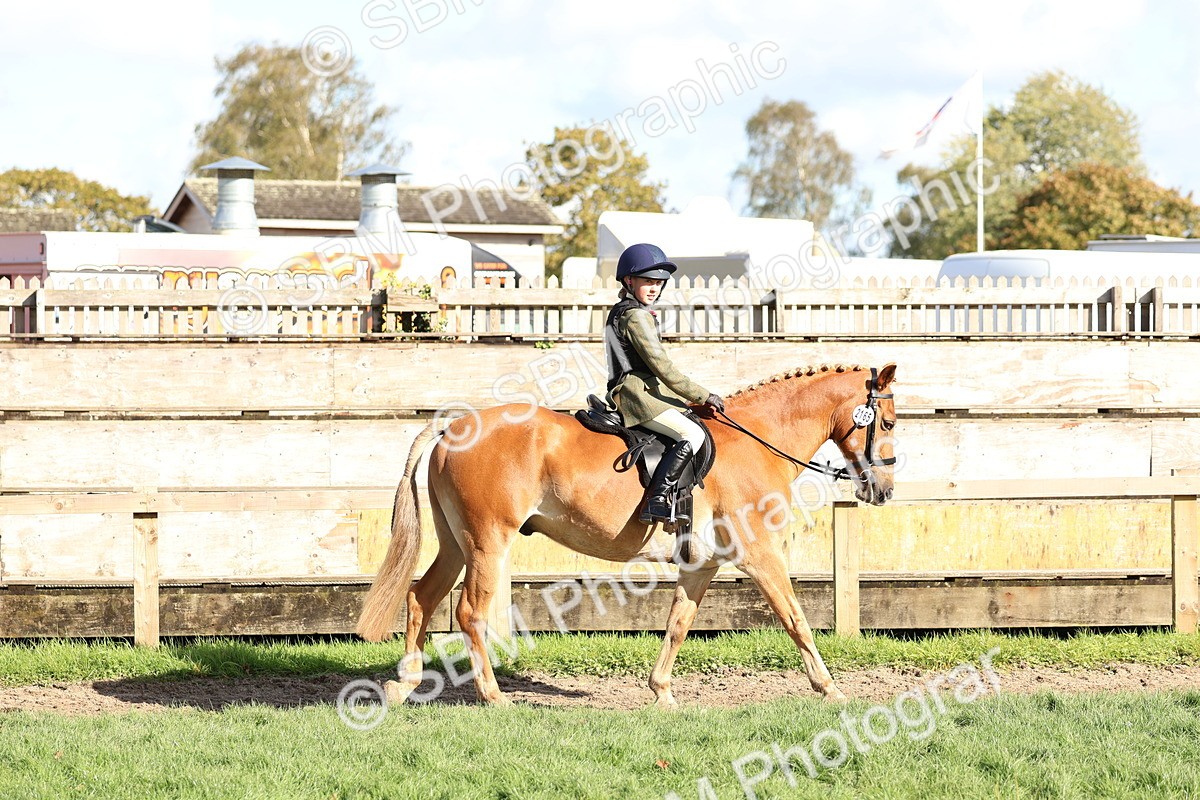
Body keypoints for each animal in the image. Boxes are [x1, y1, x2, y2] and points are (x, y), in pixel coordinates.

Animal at [357, 362, 898, 706]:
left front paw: (662, 692)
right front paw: (830, 689)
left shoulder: (701, 565)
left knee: (422, 597)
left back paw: (403, 686)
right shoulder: (761, 556)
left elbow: (679, 624)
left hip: (456, 543)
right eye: (889, 422)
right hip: (488, 543)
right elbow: (796, 619)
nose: (885, 489)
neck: (756, 442)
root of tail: (455, 426)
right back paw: (493, 697)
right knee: (469, 613)